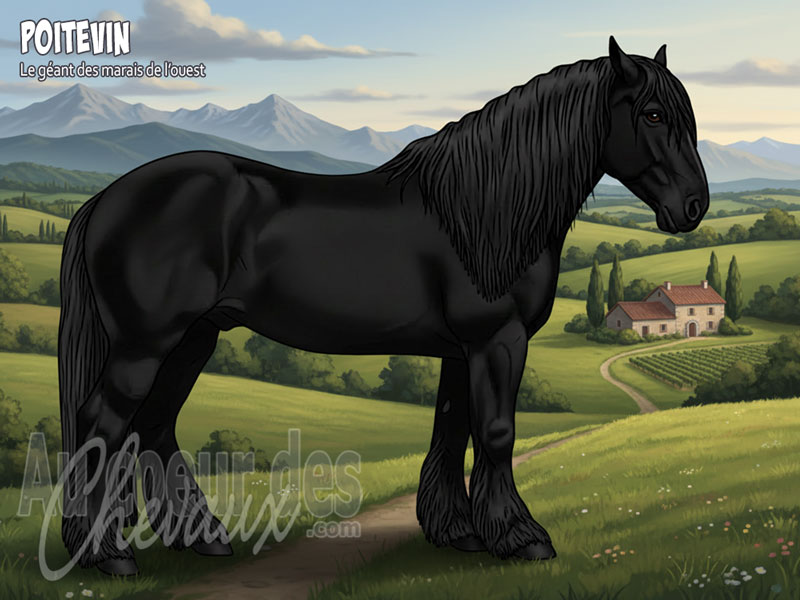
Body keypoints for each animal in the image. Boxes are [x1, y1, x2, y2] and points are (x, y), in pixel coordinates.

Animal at [58, 36, 708, 576]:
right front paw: (522, 538)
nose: (694, 206)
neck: (482, 210)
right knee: (104, 424)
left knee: (155, 428)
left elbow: (452, 428)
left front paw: (458, 533)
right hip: (145, 345)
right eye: (652, 114)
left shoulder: (461, 350)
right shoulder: (496, 339)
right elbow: (496, 432)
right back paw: (106, 553)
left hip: (194, 338)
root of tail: (107, 198)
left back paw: (201, 538)